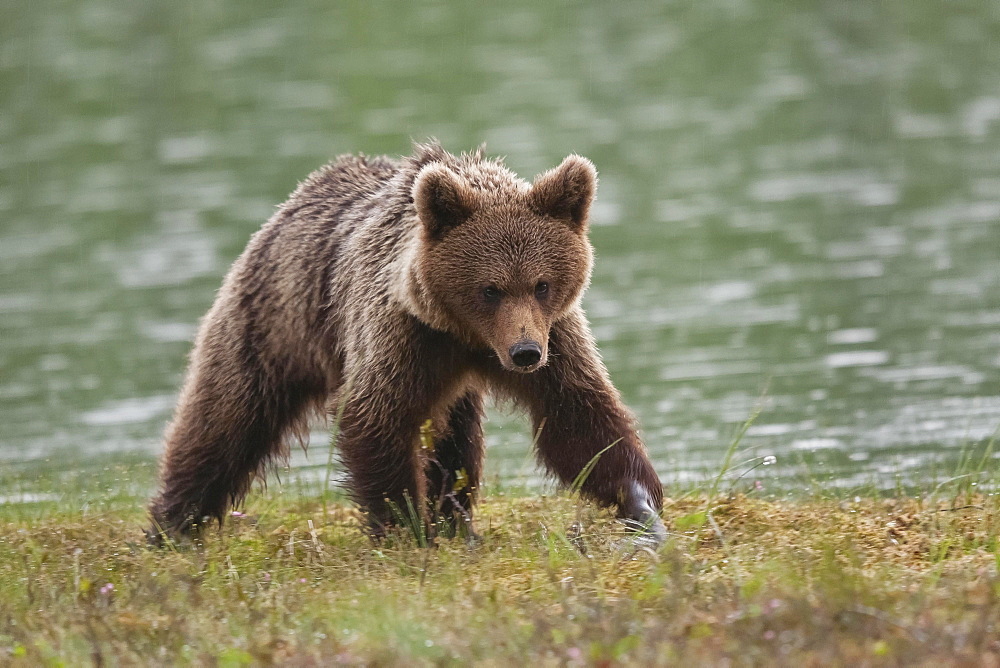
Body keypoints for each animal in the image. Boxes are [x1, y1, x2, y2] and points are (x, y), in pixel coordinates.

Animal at [146, 141, 664, 544]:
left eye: (542, 284)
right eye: (490, 288)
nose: (524, 354)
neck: (465, 334)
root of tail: (293, 201)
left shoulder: (554, 334)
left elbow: (577, 416)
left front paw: (641, 506)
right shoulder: (401, 335)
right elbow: (378, 419)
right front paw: (406, 527)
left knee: (458, 441)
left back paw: (458, 521)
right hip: (271, 326)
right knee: (224, 420)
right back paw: (172, 525)